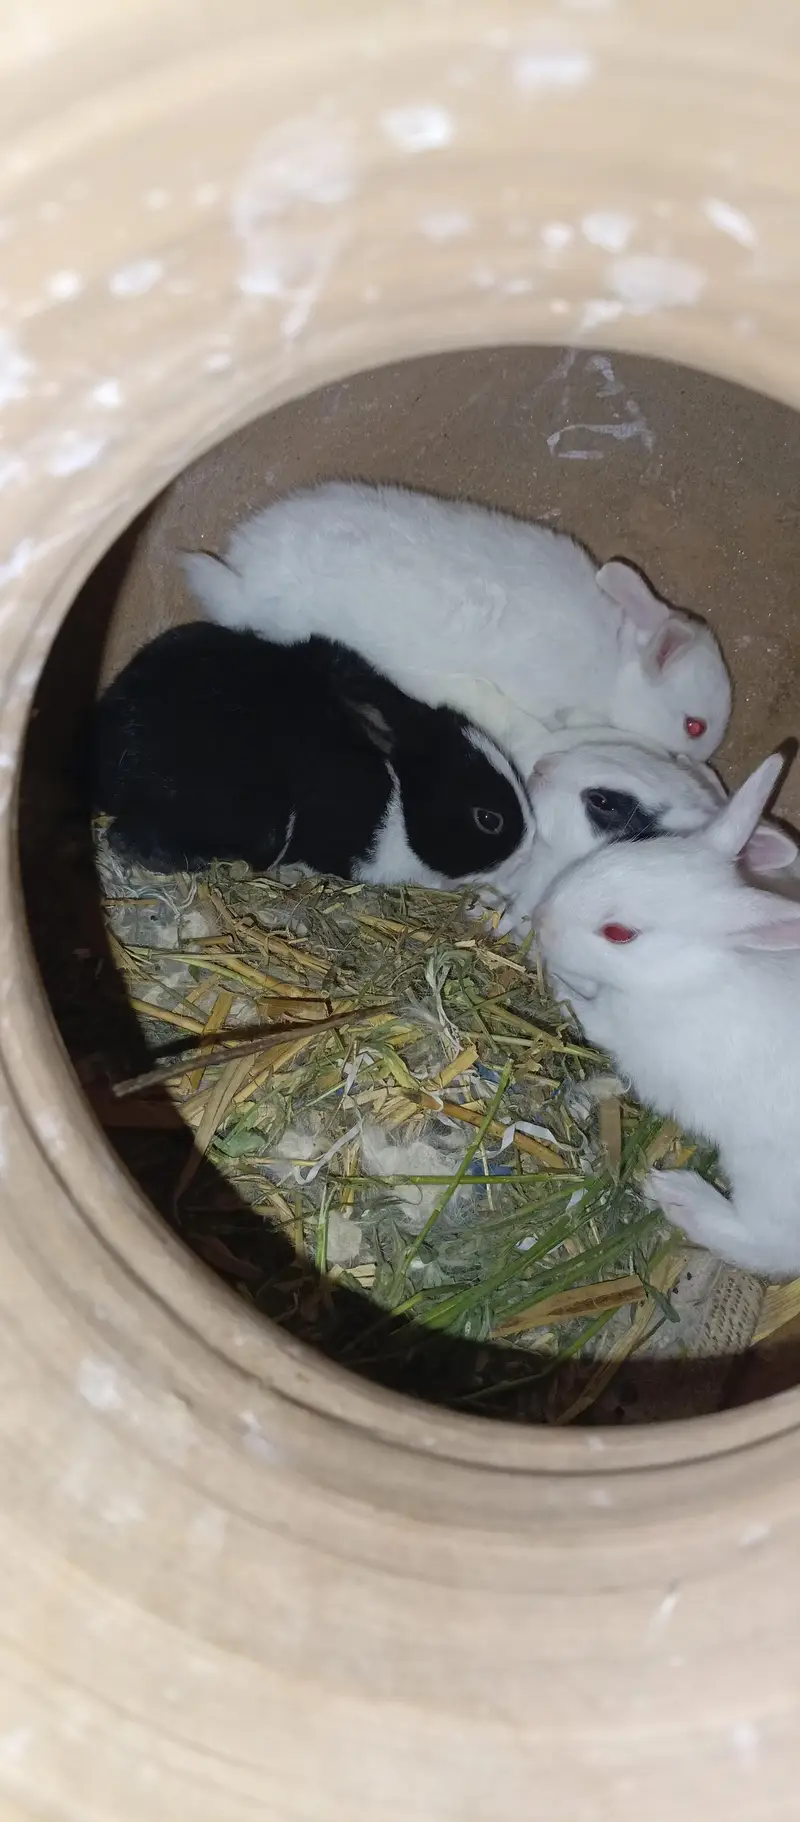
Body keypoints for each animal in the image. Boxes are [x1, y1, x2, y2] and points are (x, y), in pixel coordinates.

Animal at [532, 750, 800, 1277]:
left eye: (619, 933)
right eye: (634, 845)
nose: (541, 918)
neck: (686, 972)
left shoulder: (615, 1025)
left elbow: (579, 1006)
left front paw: (550, 971)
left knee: (765, 1245)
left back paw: (677, 1193)